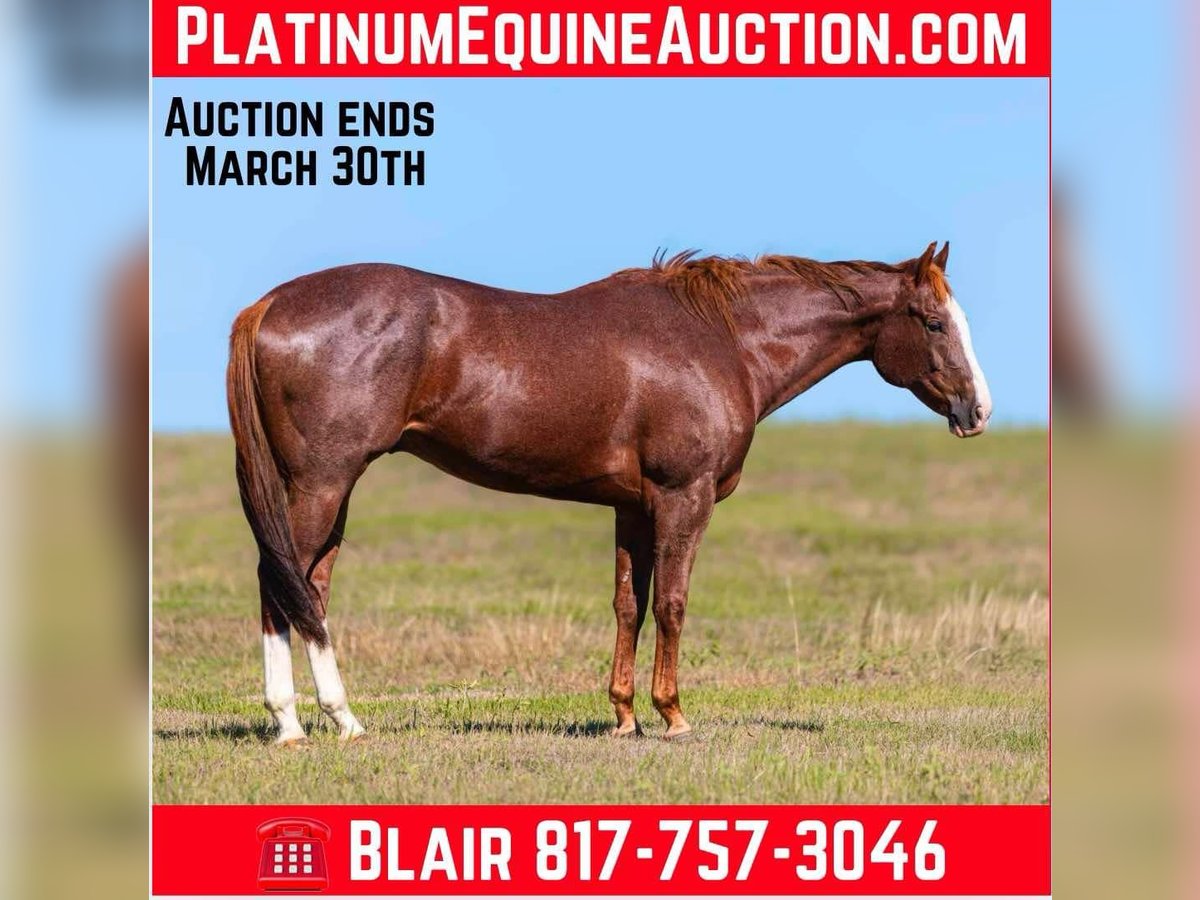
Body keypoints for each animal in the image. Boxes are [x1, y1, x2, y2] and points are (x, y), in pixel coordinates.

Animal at [226, 240, 992, 744]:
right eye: (933, 322)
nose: (977, 410)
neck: (721, 340)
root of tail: (267, 305)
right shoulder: (684, 498)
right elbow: (674, 604)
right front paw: (673, 715)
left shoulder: (633, 507)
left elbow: (630, 604)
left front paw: (624, 715)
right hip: (321, 485)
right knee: (277, 584)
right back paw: (298, 723)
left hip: (329, 491)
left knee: (308, 589)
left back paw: (332, 718)